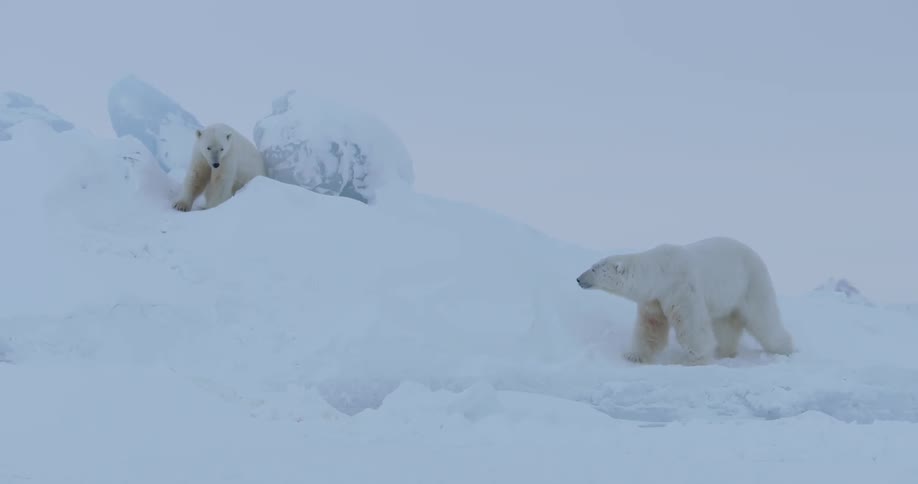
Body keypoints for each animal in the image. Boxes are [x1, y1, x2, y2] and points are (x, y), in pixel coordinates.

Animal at [576, 236, 794, 365]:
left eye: (594, 268)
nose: (578, 278)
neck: (660, 271)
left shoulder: (681, 288)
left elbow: (692, 324)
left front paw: (696, 358)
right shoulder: (654, 299)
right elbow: (650, 326)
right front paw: (634, 355)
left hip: (751, 283)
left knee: (764, 319)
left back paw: (785, 348)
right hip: (727, 299)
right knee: (725, 326)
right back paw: (725, 351)